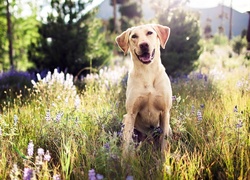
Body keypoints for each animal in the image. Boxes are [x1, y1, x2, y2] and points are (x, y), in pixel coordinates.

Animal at [115, 24, 172, 158]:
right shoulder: (131, 113)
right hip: (126, 120)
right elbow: (126, 143)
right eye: (134, 36)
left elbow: (164, 141)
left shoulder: (165, 112)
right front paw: (124, 161)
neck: (147, 72)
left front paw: (163, 159)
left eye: (150, 33)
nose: (144, 44)